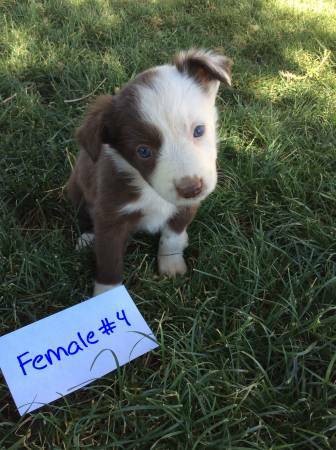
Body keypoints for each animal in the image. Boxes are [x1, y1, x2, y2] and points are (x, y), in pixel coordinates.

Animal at [67, 49, 232, 298]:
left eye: (199, 130)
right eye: (143, 151)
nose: (192, 188)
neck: (151, 191)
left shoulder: (186, 207)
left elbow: (172, 236)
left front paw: (171, 266)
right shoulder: (110, 215)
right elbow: (109, 258)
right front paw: (107, 294)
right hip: (76, 189)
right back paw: (86, 238)